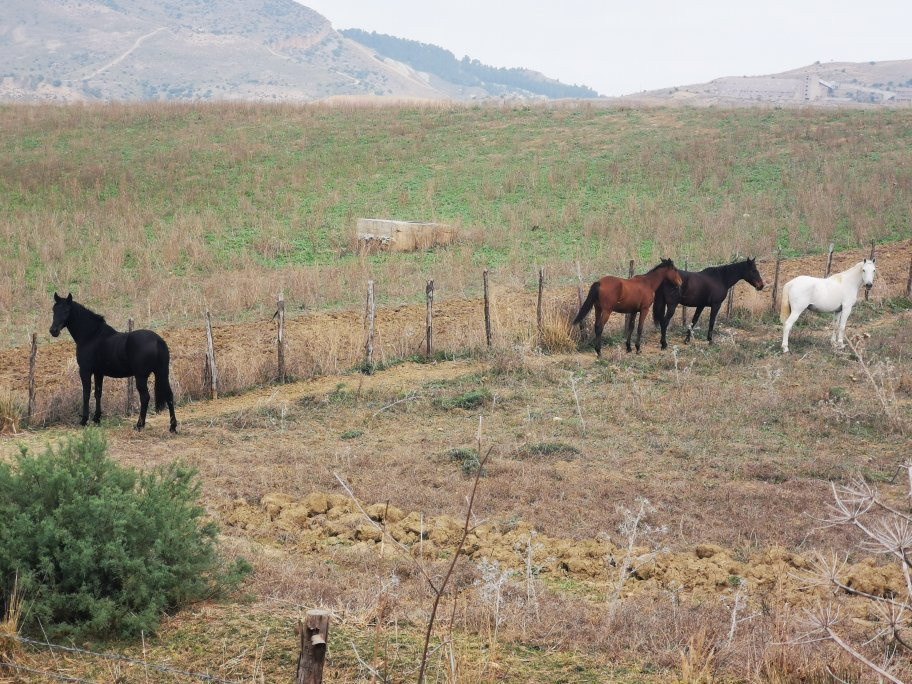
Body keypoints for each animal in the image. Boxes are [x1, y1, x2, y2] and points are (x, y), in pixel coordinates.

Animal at [48, 292, 178, 432]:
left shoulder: (85, 371)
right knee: (169, 396)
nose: (53, 331)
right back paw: (172, 427)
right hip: (162, 373)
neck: (91, 336)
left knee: (145, 397)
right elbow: (98, 393)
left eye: (66, 311)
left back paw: (139, 425)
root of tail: (158, 340)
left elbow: (86, 394)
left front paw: (84, 420)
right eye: (54, 310)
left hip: (141, 376)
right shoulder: (98, 372)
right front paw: (97, 419)